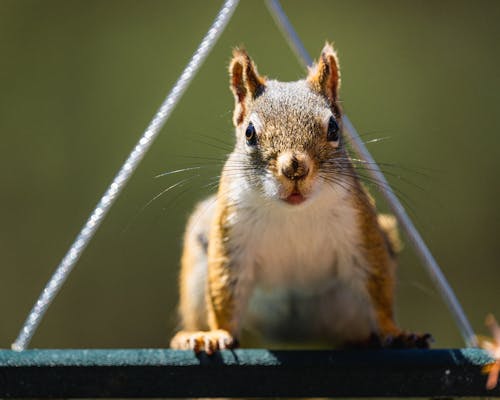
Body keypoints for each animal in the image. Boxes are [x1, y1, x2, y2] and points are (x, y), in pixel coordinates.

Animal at [170, 41, 432, 354]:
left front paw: (395, 331)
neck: (292, 212)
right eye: (249, 132)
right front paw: (218, 333)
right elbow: (225, 290)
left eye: (334, 127)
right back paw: (192, 336)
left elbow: (375, 284)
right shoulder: (232, 234)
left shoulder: (359, 229)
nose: (295, 168)